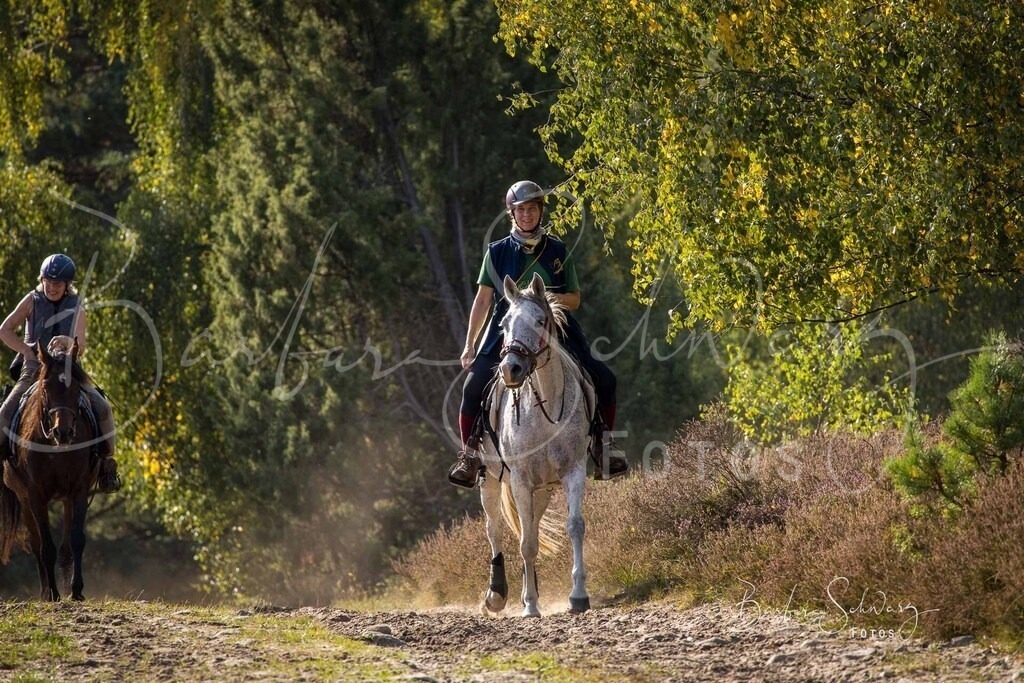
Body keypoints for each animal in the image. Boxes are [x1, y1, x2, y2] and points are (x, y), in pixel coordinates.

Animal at [0, 338, 99, 601]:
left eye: (76, 388)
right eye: (46, 388)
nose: (62, 432)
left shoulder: (79, 490)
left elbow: (77, 540)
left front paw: (76, 590)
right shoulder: (36, 495)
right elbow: (46, 547)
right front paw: (53, 593)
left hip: (66, 499)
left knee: (65, 546)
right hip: (23, 500)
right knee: (36, 545)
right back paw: (46, 591)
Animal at [477, 273, 596, 618]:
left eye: (540, 320)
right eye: (503, 324)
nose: (510, 369)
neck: (544, 405)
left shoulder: (573, 471)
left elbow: (575, 526)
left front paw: (578, 596)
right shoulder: (519, 478)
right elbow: (527, 543)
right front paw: (530, 605)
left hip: (542, 489)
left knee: (530, 524)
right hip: (490, 480)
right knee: (495, 529)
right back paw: (497, 595)